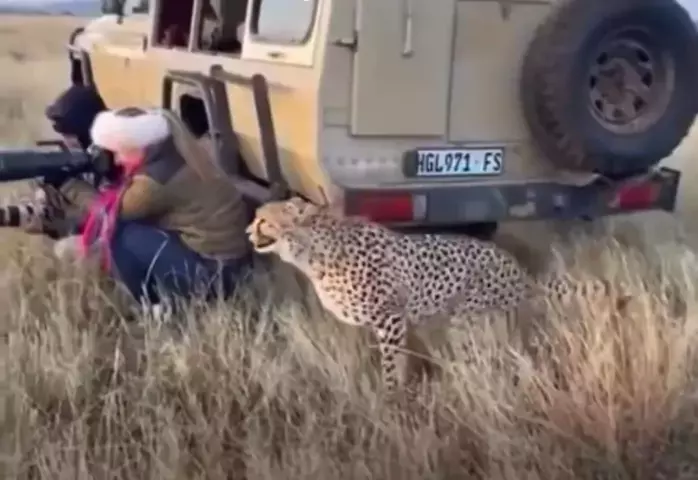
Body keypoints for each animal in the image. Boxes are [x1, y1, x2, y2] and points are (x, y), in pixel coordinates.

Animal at [245, 196, 612, 393]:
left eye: (263, 220)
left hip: (468, 320)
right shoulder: (388, 322)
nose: (248, 232)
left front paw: (392, 398)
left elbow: (392, 364)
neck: (312, 250)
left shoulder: (391, 318)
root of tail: (518, 269)